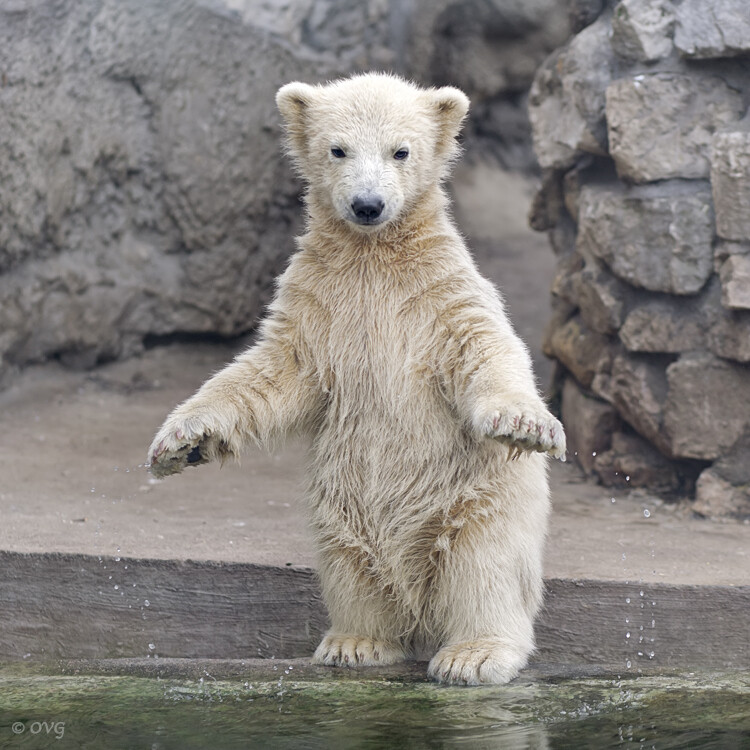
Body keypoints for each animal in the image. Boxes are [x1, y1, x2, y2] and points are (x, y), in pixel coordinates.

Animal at [151, 72, 564, 688]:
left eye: (401, 151)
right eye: (338, 149)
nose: (367, 205)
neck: (374, 256)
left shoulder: (440, 295)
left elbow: (485, 348)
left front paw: (523, 422)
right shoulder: (319, 303)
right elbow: (272, 371)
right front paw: (181, 441)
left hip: (474, 498)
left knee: (483, 566)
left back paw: (474, 654)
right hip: (341, 502)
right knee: (349, 561)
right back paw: (357, 641)